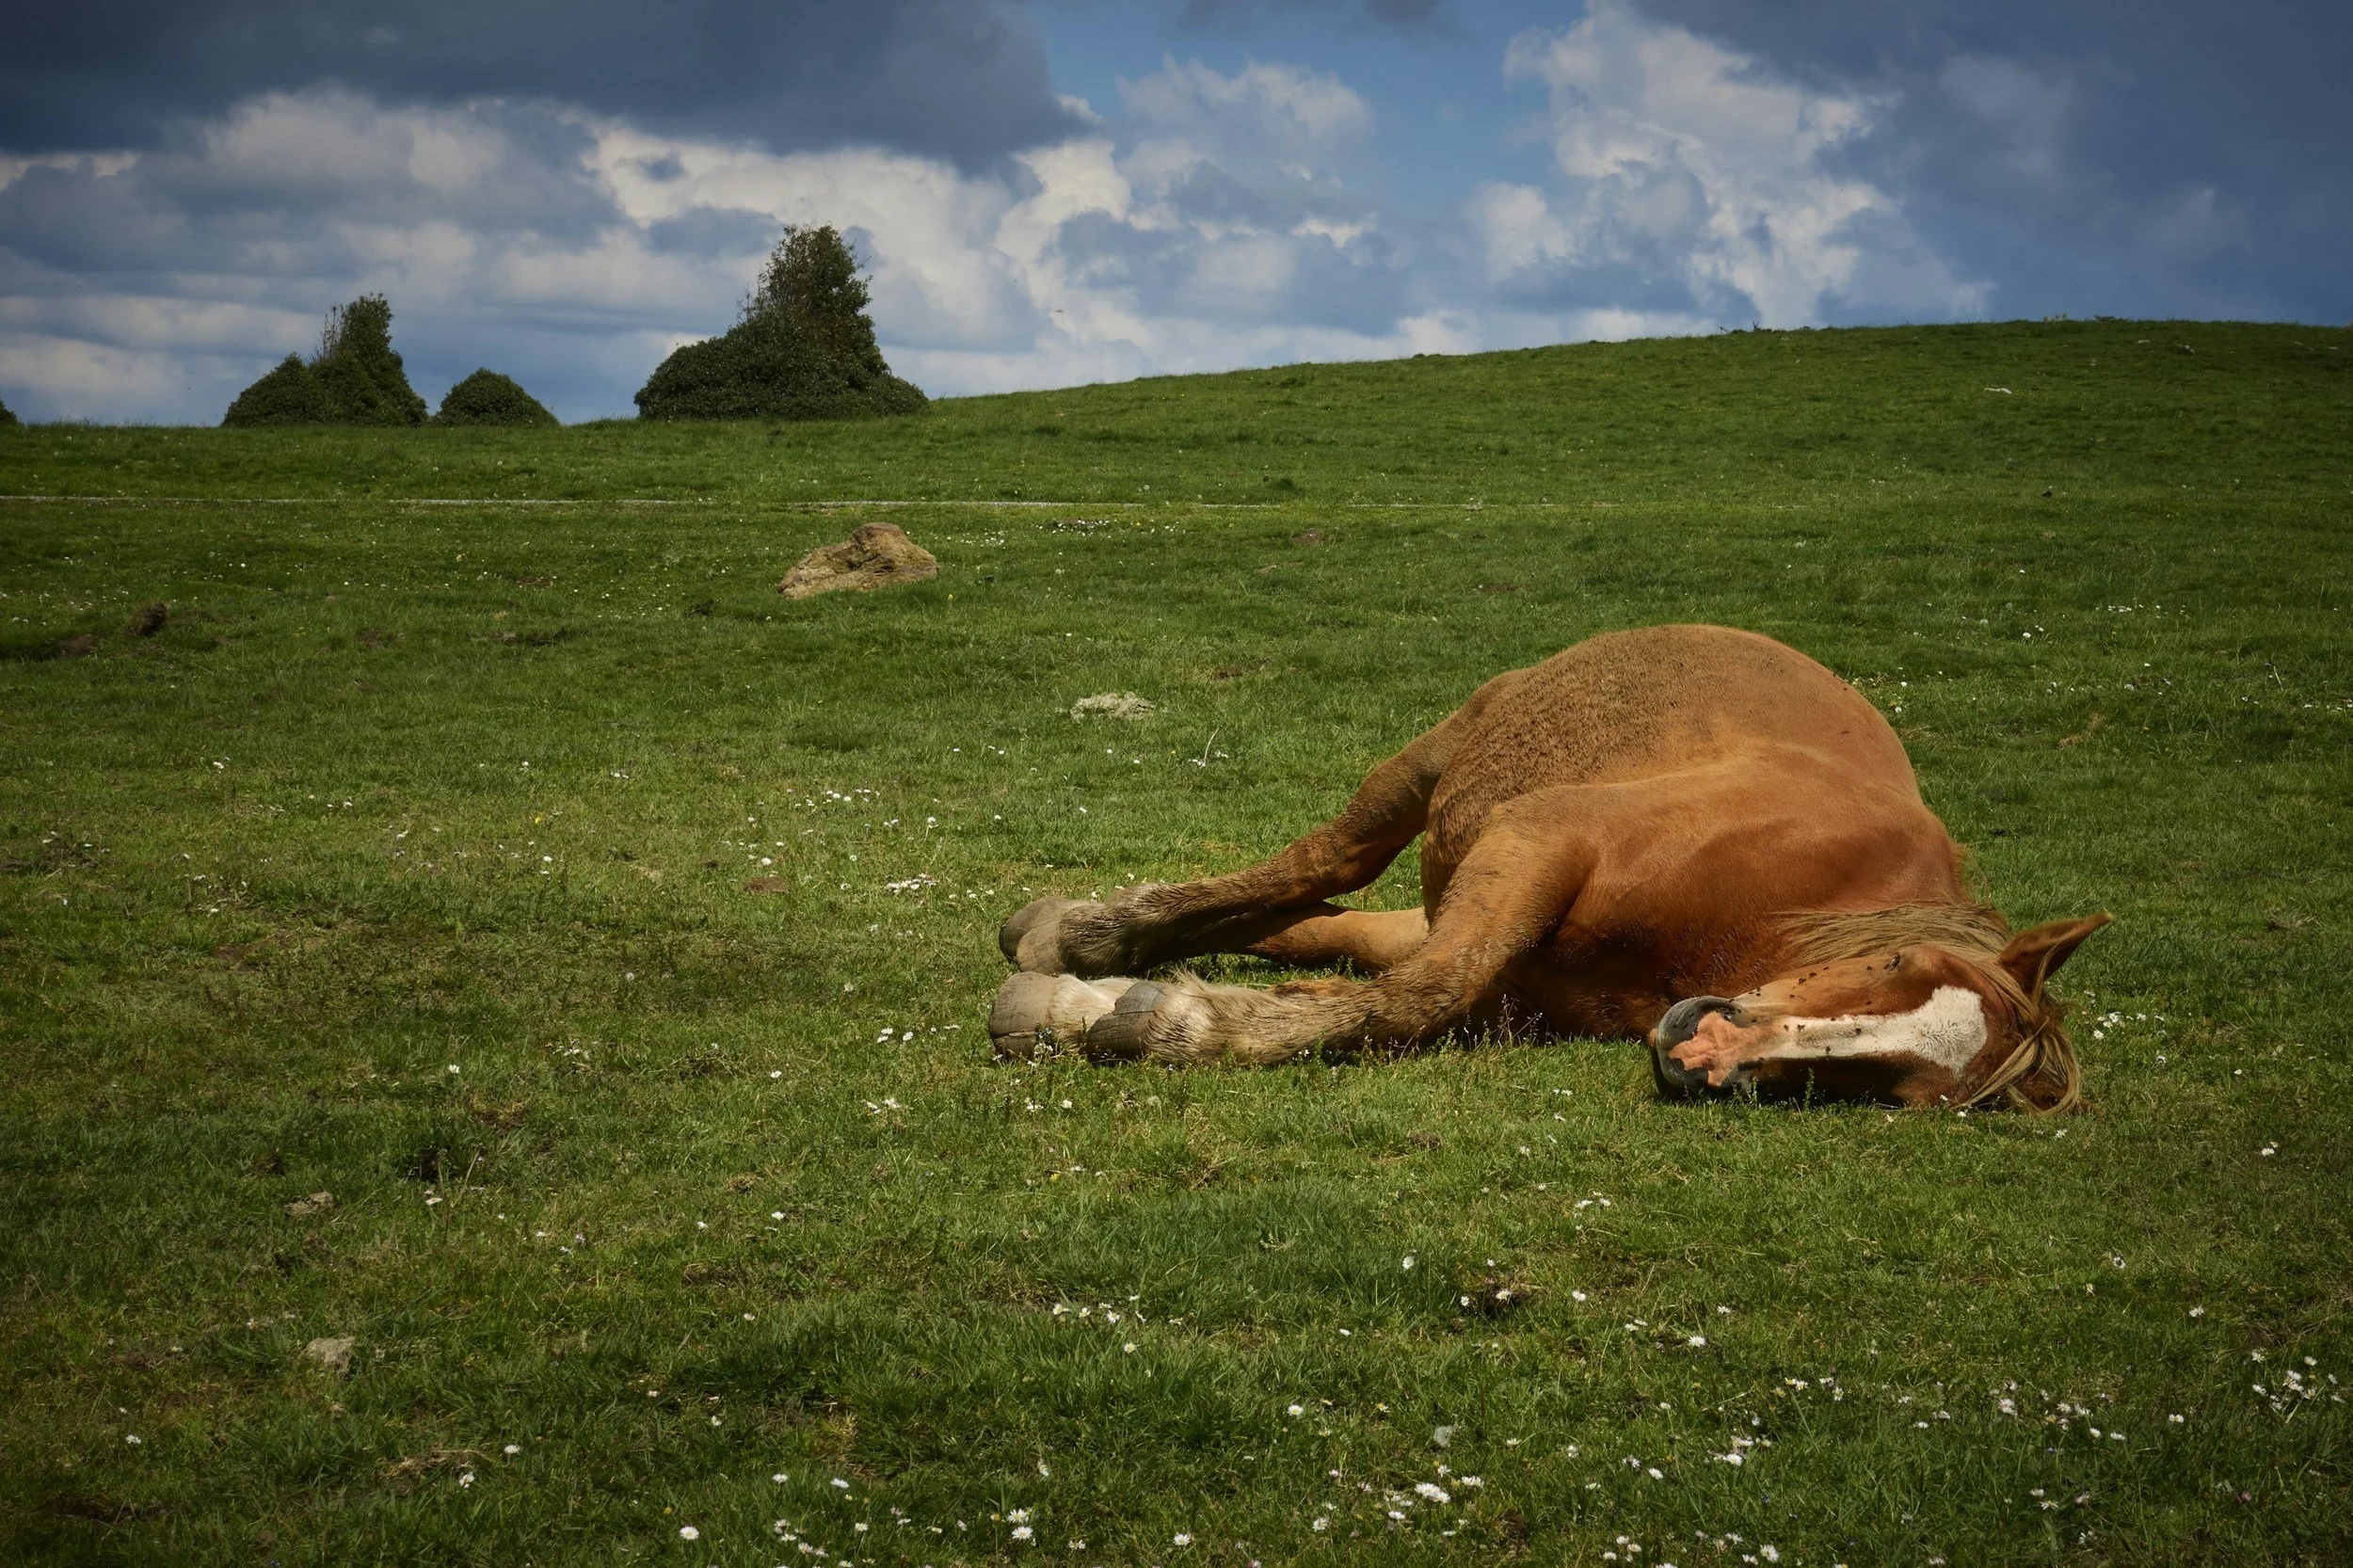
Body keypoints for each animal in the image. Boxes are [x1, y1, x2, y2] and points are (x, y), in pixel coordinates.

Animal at [987, 624, 2106, 1111]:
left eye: (1909, 1090)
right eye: (1899, 968)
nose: (1705, 1050)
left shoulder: (1507, 953)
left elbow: (1382, 980)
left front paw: (1120, 1004)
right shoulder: (1541, 837)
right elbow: (1421, 992)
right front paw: (1165, 1022)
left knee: (1311, 912)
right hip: (1433, 769)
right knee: (1323, 861)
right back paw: (1089, 936)